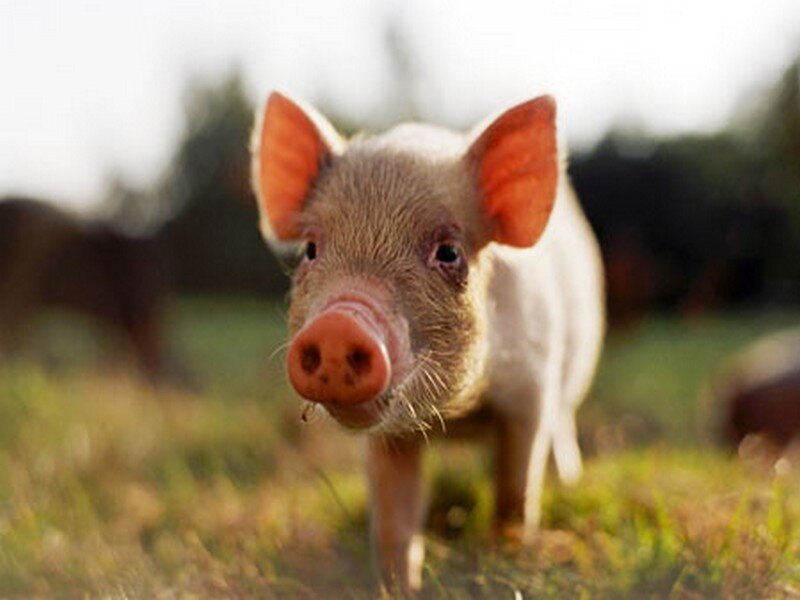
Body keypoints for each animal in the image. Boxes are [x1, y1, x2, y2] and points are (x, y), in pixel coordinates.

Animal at [250, 92, 605, 591]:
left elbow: (515, 496)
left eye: (449, 252)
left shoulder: (531, 391)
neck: (454, 417)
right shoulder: (388, 437)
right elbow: (394, 522)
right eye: (311, 249)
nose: (338, 325)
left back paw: (570, 477)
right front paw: (398, 587)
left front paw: (509, 565)